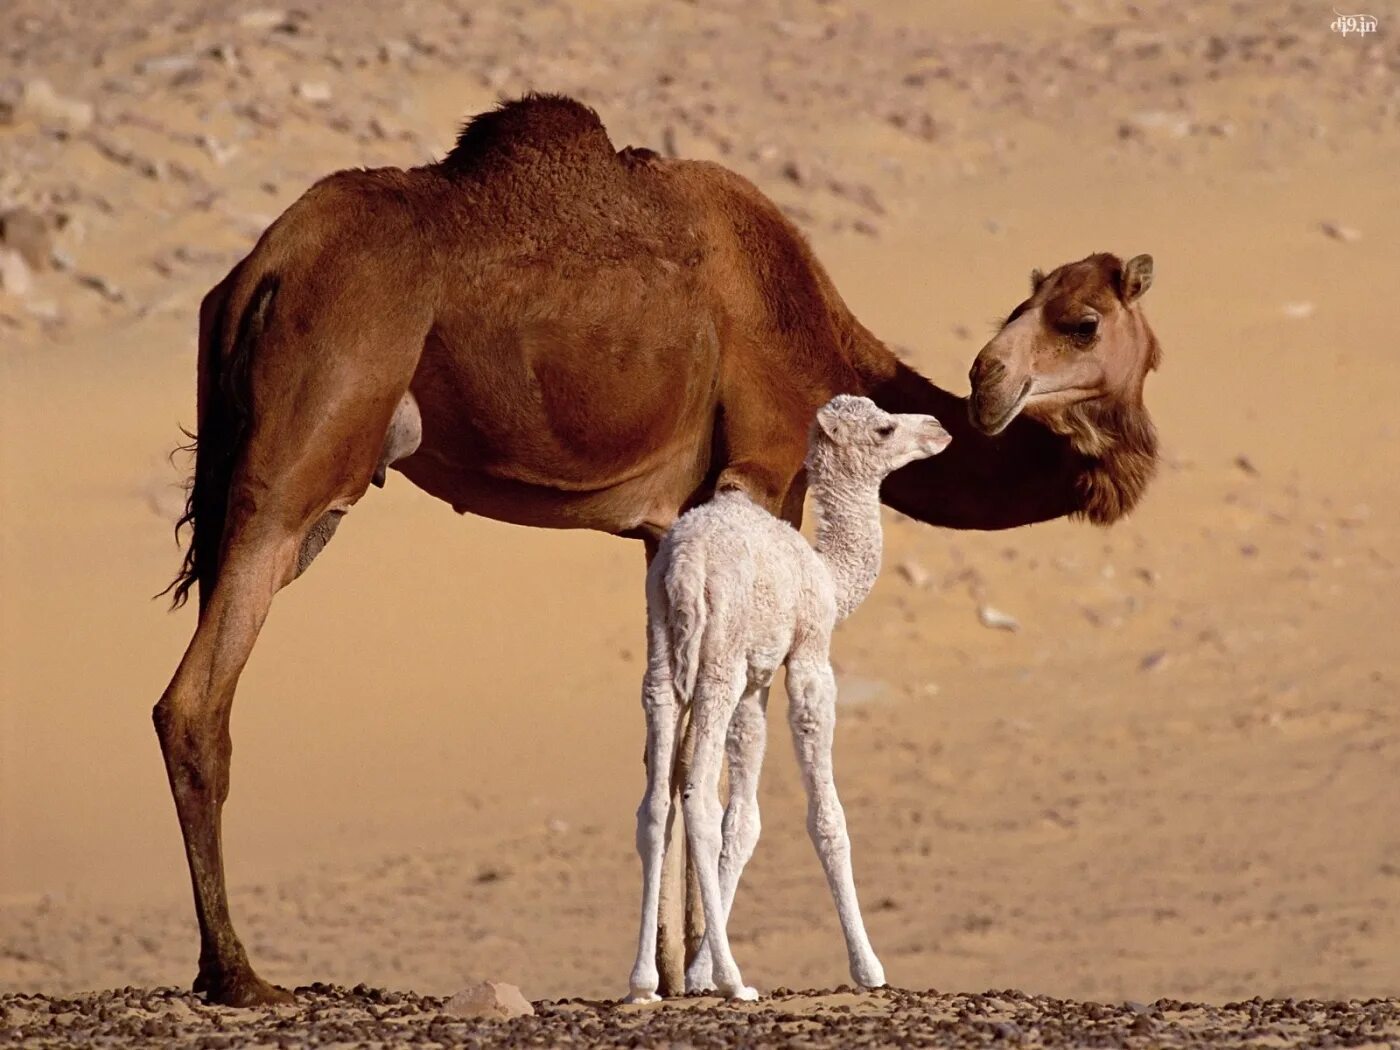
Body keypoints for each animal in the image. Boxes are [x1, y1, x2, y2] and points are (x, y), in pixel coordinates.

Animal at [632, 394, 952, 1002]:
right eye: (884, 428)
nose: (939, 428)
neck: (827, 573)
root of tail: (685, 565)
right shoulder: (807, 657)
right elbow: (827, 817)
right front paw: (868, 968)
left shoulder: (756, 682)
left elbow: (745, 822)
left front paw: (698, 974)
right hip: (718, 660)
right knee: (698, 798)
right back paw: (737, 983)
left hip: (662, 655)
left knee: (656, 802)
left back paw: (642, 981)